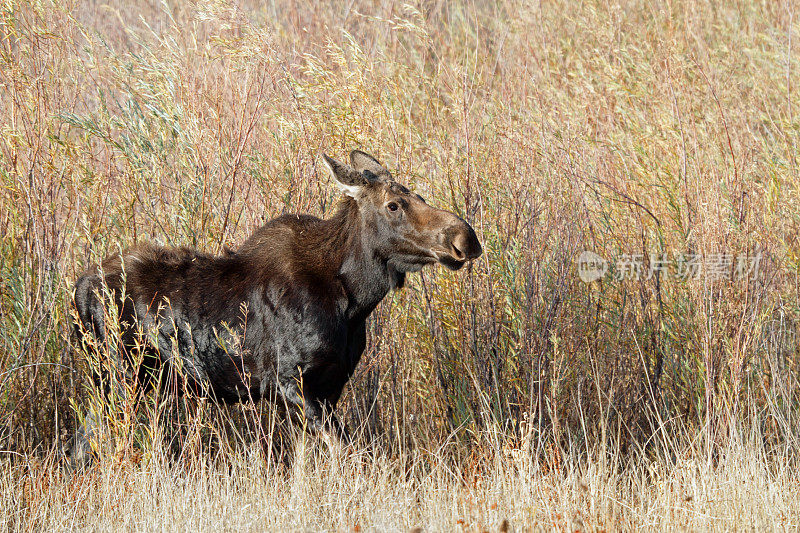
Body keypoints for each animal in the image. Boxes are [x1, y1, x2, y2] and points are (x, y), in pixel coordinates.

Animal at [70, 149, 482, 462]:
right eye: (394, 205)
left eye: (420, 197)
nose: (465, 238)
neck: (353, 302)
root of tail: (78, 289)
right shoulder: (289, 382)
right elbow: (347, 451)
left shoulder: (330, 386)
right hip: (116, 376)